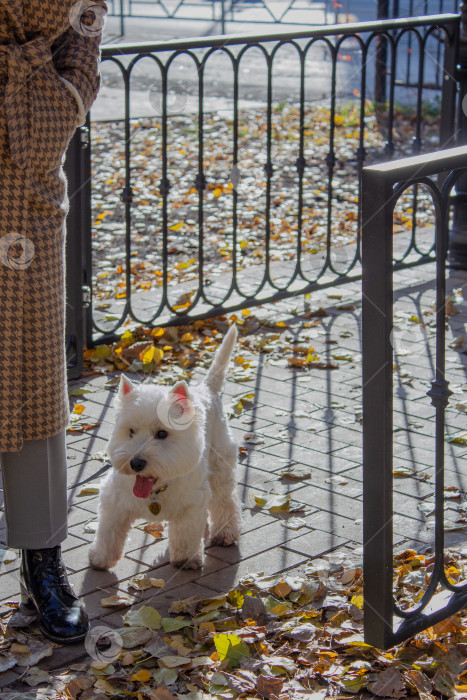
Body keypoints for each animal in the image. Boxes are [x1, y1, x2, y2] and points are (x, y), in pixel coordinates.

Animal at [88, 326, 243, 572]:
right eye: (130, 431)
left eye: (162, 434)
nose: (136, 463)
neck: (155, 489)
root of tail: (206, 389)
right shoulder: (114, 501)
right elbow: (108, 532)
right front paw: (101, 558)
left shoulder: (191, 503)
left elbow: (186, 534)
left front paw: (186, 558)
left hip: (220, 463)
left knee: (225, 500)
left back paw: (225, 533)